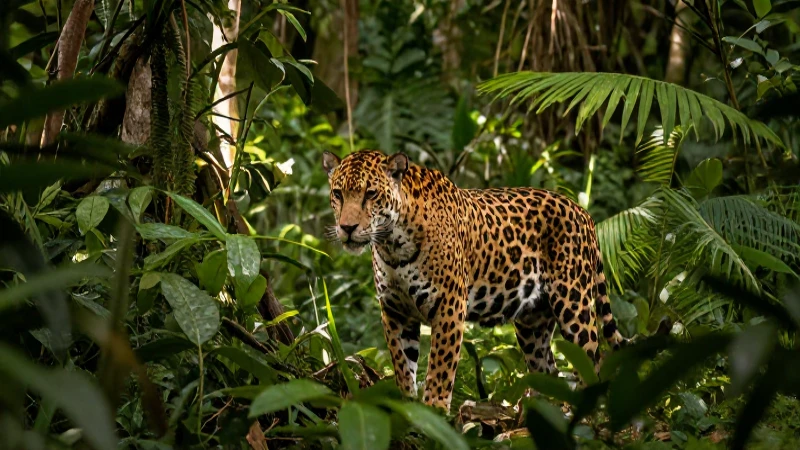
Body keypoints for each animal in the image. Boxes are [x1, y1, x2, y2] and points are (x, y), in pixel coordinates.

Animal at [322, 149, 628, 412]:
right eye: (338, 194)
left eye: (370, 194)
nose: (347, 228)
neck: (392, 244)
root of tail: (583, 213)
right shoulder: (395, 311)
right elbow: (402, 365)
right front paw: (407, 408)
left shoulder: (448, 306)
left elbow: (440, 369)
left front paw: (435, 413)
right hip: (532, 323)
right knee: (547, 369)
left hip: (574, 306)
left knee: (592, 363)